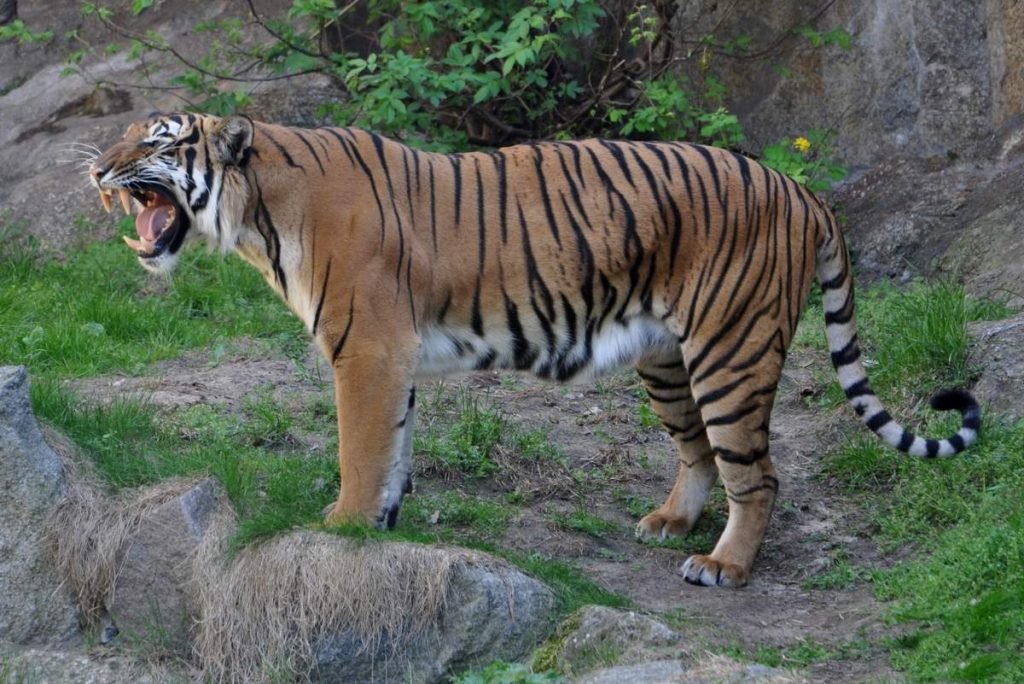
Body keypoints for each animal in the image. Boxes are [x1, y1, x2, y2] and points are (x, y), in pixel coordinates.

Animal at [86, 113, 974, 589]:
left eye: (156, 140)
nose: (96, 167)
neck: (258, 212)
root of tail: (801, 190)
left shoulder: (366, 349)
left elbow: (359, 449)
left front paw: (340, 528)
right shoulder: (391, 359)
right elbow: (393, 450)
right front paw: (382, 529)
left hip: (731, 351)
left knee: (756, 474)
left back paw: (723, 566)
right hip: (666, 358)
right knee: (698, 453)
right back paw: (670, 522)